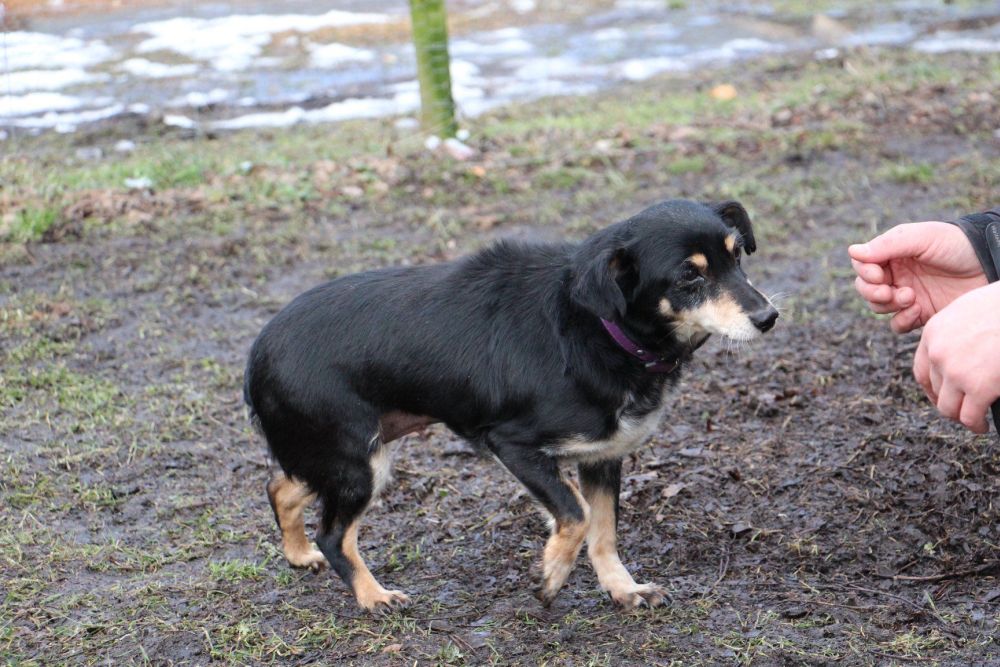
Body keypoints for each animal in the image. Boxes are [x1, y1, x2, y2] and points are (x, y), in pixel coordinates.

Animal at [244, 198, 778, 611]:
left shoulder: (603, 456)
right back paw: (373, 596)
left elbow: (603, 531)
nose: (769, 317)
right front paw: (551, 576)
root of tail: (256, 352)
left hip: (339, 454)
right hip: (358, 463)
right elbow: (577, 514)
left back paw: (298, 554)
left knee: (280, 486)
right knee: (334, 535)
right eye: (689, 275)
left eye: (737, 256)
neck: (599, 328)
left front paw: (622, 590)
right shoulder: (513, 445)